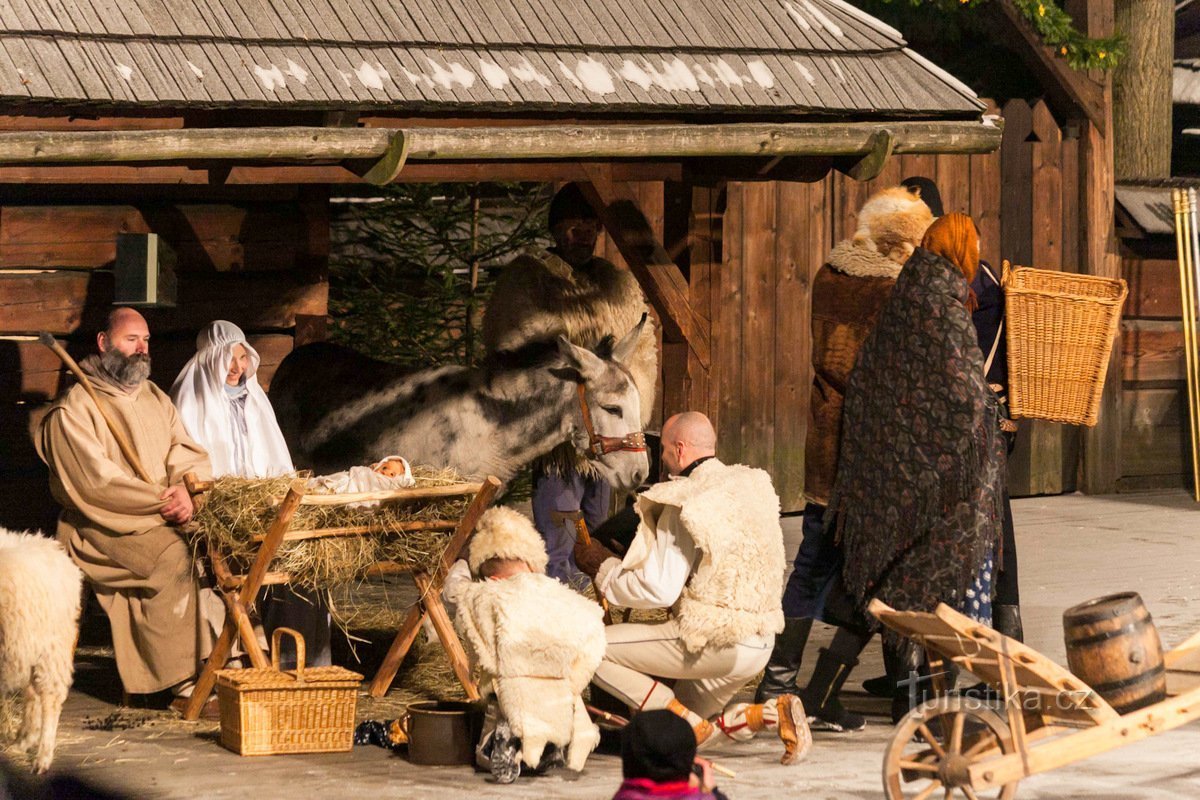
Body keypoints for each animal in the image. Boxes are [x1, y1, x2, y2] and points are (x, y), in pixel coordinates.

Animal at [0, 527, 82, 772]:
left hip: (51, 649)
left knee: (50, 699)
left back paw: (42, 758)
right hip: (28, 648)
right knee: (33, 694)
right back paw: (24, 741)